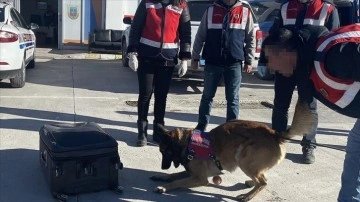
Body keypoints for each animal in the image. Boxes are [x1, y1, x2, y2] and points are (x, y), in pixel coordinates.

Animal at [150, 100, 316, 201]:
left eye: (165, 152)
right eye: (161, 152)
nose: (162, 167)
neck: (187, 143)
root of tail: (275, 134)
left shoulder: (200, 178)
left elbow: (177, 181)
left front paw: (164, 187)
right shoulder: (193, 173)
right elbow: (174, 175)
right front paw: (161, 176)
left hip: (243, 158)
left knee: (263, 182)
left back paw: (247, 196)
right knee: (262, 177)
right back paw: (250, 183)